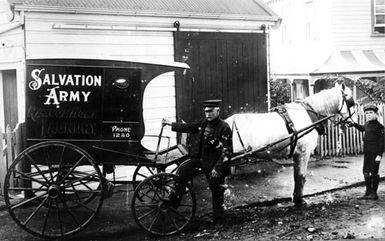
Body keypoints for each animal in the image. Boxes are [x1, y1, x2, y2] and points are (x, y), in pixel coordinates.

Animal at [225, 82, 354, 205]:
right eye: (351, 102)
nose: (352, 122)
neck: (310, 114)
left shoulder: (297, 153)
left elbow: (296, 176)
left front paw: (296, 197)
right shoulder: (303, 152)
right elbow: (301, 176)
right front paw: (299, 200)